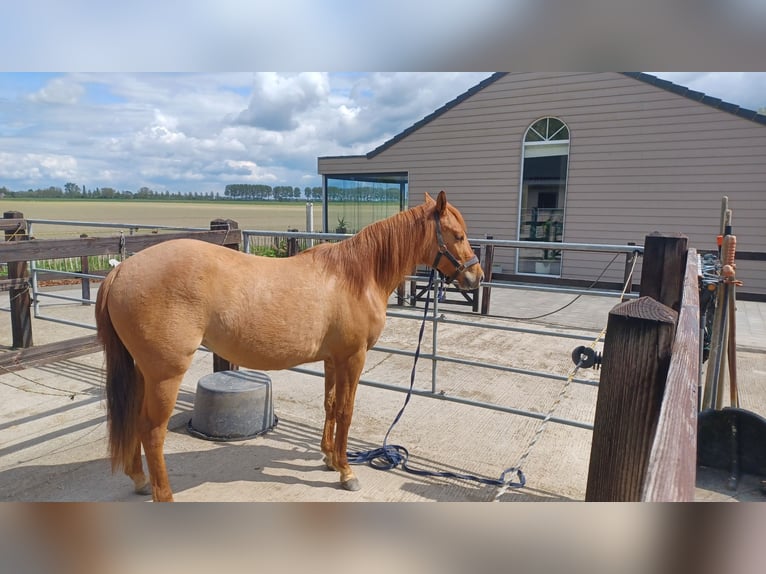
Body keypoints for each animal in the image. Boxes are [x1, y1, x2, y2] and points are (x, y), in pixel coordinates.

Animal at [95, 190, 483, 501]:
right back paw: (163, 493)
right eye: (458, 235)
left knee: (134, 420)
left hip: (143, 371)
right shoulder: (353, 358)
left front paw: (329, 458)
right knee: (151, 431)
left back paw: (140, 480)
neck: (358, 276)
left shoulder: (333, 359)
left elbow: (330, 406)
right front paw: (347, 472)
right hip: (165, 374)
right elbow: (346, 411)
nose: (476, 277)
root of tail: (121, 270)